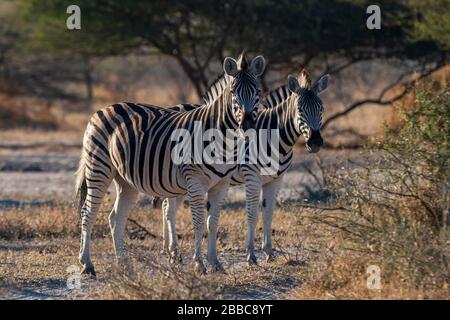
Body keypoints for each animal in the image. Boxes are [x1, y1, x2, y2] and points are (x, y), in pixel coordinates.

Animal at [75, 53, 266, 276]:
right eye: (233, 92)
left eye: (258, 91)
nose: (248, 125)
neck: (222, 140)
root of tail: (104, 108)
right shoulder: (195, 182)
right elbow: (198, 222)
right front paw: (199, 264)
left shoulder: (221, 184)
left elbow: (213, 222)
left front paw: (215, 263)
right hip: (99, 167)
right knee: (88, 213)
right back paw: (87, 264)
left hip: (126, 181)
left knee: (116, 218)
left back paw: (123, 264)